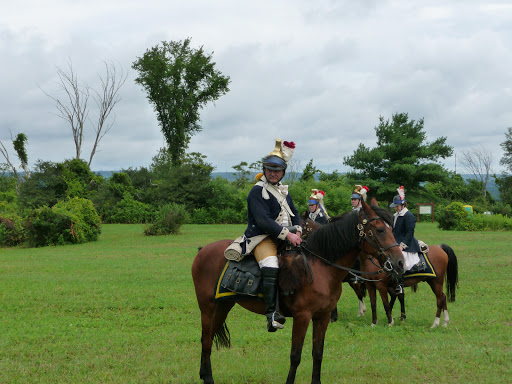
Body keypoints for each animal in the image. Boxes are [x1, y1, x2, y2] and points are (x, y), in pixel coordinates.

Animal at [192, 200, 404, 382]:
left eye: (392, 228)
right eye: (380, 230)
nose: (400, 262)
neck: (320, 268)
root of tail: (203, 251)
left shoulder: (323, 316)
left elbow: (318, 353)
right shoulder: (302, 316)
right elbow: (295, 355)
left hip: (223, 306)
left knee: (207, 338)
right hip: (207, 308)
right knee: (206, 340)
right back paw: (208, 377)